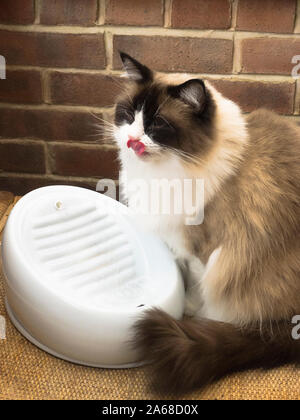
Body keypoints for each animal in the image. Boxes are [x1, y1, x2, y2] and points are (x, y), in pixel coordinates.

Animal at [112, 51, 300, 394]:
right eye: (129, 115)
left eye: (157, 125)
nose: (132, 139)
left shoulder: (206, 252)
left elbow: (195, 288)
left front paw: (188, 312)